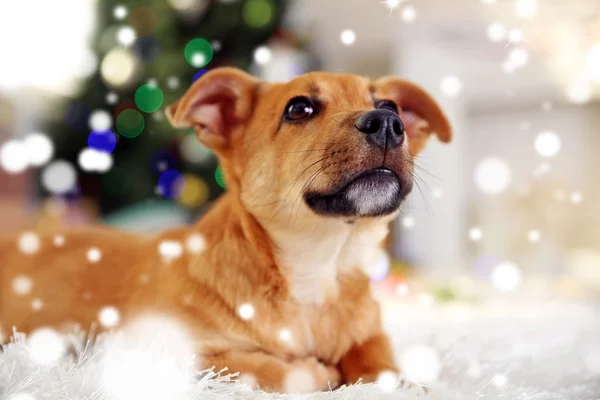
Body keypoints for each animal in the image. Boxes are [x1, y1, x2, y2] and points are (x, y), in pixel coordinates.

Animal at [0, 67, 450, 392]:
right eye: (299, 109)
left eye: (389, 104)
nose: (389, 122)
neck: (318, 266)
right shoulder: (165, 350)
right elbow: (275, 370)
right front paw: (321, 372)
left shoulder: (369, 332)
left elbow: (380, 360)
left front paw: (402, 382)